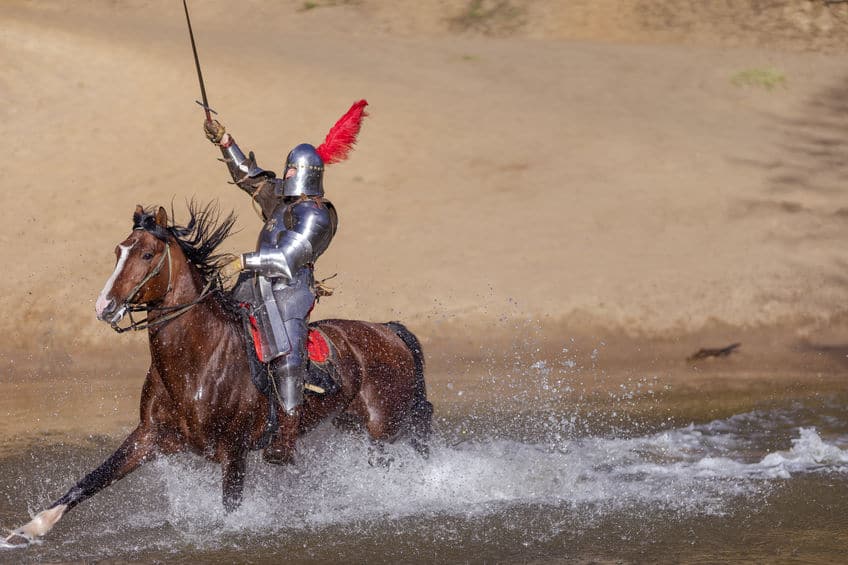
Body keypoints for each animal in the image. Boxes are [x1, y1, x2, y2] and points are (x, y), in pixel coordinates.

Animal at [4, 203, 432, 546]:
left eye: (146, 253)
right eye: (118, 251)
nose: (104, 306)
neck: (198, 363)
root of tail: (389, 331)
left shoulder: (235, 452)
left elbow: (229, 509)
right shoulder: (148, 437)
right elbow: (89, 481)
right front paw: (26, 531)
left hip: (387, 426)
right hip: (358, 425)